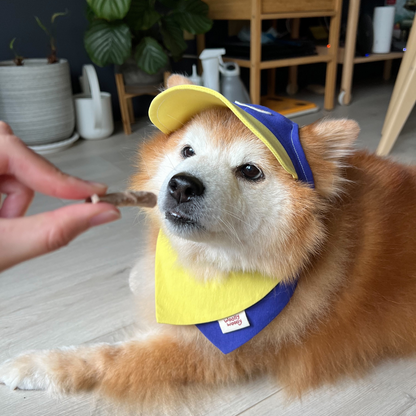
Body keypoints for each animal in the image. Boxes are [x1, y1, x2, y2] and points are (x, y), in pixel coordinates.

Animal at [0, 75, 416, 412]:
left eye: (250, 171)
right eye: (188, 151)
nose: (182, 185)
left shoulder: (207, 351)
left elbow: (105, 357)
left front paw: (34, 365)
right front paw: (142, 273)